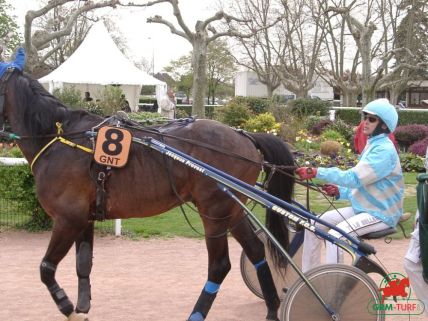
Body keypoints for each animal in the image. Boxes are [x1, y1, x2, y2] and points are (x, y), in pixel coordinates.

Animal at [1, 70, 294, 320]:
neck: (60, 138)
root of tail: (245, 136)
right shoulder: (84, 218)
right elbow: (83, 264)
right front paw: (82, 306)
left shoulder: (67, 219)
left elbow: (46, 268)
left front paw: (67, 306)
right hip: (232, 210)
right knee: (256, 250)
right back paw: (271, 309)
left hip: (214, 211)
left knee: (220, 266)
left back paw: (196, 313)